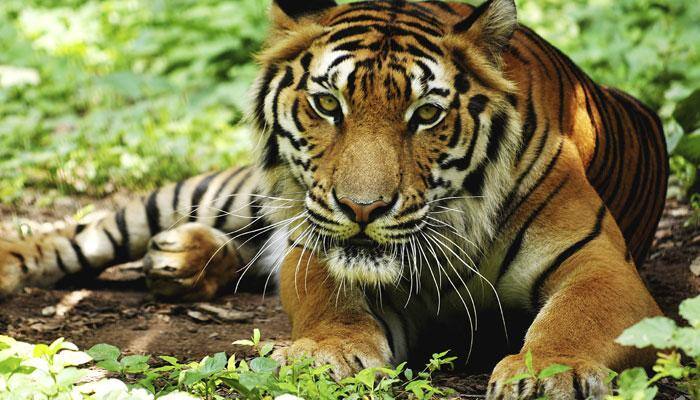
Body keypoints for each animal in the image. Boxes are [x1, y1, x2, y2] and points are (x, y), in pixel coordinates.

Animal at [0, 0, 669, 398]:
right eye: (328, 104)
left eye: (427, 115)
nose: (363, 209)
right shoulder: (316, 246)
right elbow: (329, 302)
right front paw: (328, 354)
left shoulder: (602, 266)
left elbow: (574, 317)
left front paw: (550, 374)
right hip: (229, 193)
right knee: (93, 230)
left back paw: (181, 261)